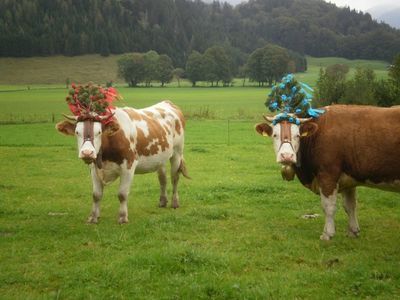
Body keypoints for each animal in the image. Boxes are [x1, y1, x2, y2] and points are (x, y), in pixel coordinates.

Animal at [55, 100, 191, 223]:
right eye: (77, 132)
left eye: (99, 132)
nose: (87, 153)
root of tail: (168, 103)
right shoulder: (94, 169)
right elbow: (96, 195)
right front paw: (93, 217)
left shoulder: (128, 166)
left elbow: (122, 194)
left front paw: (122, 217)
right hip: (160, 158)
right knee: (163, 179)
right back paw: (162, 201)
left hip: (177, 153)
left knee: (174, 178)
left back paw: (175, 202)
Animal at [256, 104, 400, 240]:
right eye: (275, 135)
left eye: (297, 135)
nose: (287, 156)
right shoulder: (349, 178)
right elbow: (350, 206)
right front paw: (353, 231)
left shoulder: (328, 175)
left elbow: (328, 207)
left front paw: (327, 234)